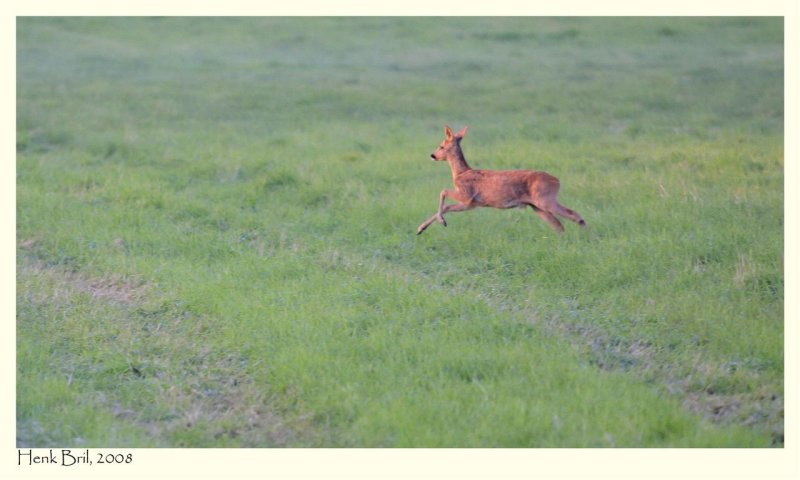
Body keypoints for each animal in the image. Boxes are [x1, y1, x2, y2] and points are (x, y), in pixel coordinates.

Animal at [416, 124, 584, 235]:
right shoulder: (471, 204)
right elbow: (447, 206)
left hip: (545, 199)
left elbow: (443, 192)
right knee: (559, 225)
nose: (432, 155)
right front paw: (421, 229)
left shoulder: (467, 196)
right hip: (537, 206)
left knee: (574, 215)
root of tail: (557, 181)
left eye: (441, 146)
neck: (460, 173)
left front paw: (439, 222)